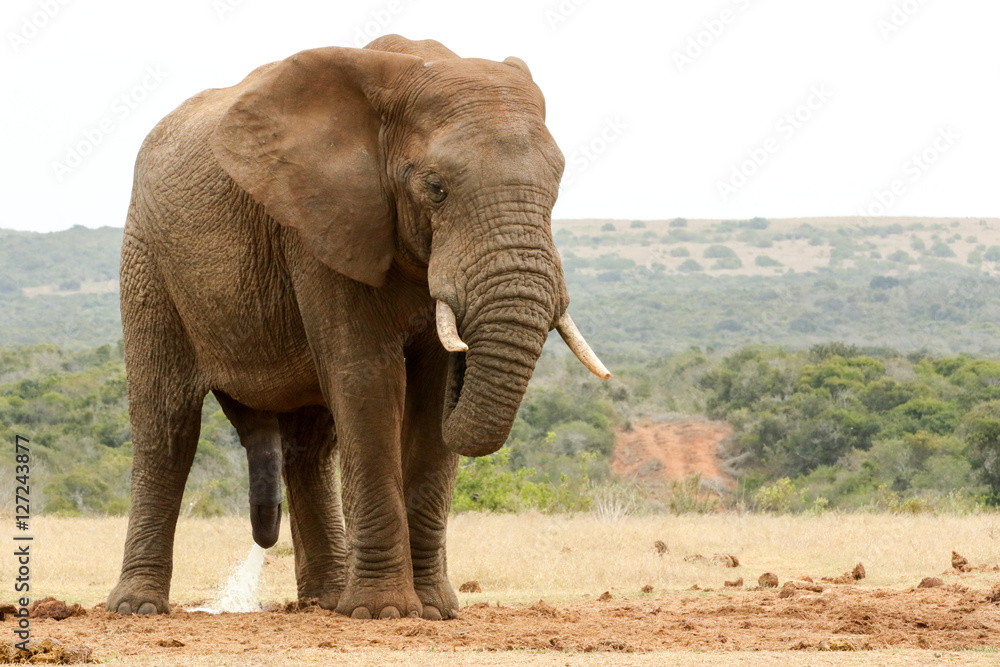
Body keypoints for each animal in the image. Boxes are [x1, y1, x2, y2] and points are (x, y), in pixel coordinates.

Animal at [109, 35, 608, 620]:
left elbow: (431, 396)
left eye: (556, 188)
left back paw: (324, 601)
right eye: (435, 188)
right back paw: (137, 608)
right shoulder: (319, 226)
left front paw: (434, 611)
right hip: (147, 258)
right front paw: (384, 613)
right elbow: (368, 379)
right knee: (166, 427)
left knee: (309, 445)